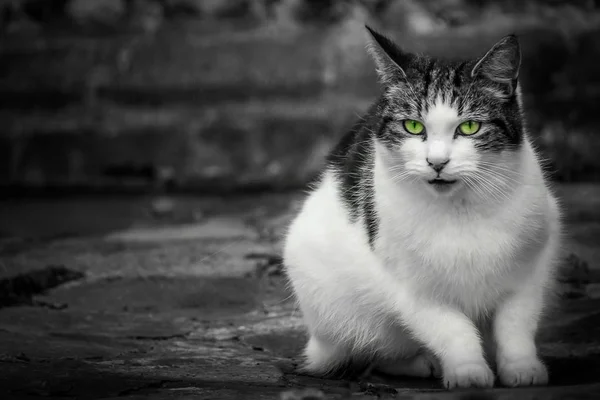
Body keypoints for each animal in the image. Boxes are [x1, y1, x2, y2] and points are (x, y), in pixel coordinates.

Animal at [282, 26, 564, 390]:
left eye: (469, 127)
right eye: (413, 127)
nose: (437, 162)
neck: (460, 209)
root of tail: (318, 346)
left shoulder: (529, 274)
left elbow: (515, 325)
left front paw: (522, 367)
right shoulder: (414, 291)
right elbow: (452, 330)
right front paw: (467, 372)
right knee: (374, 354)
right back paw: (422, 363)